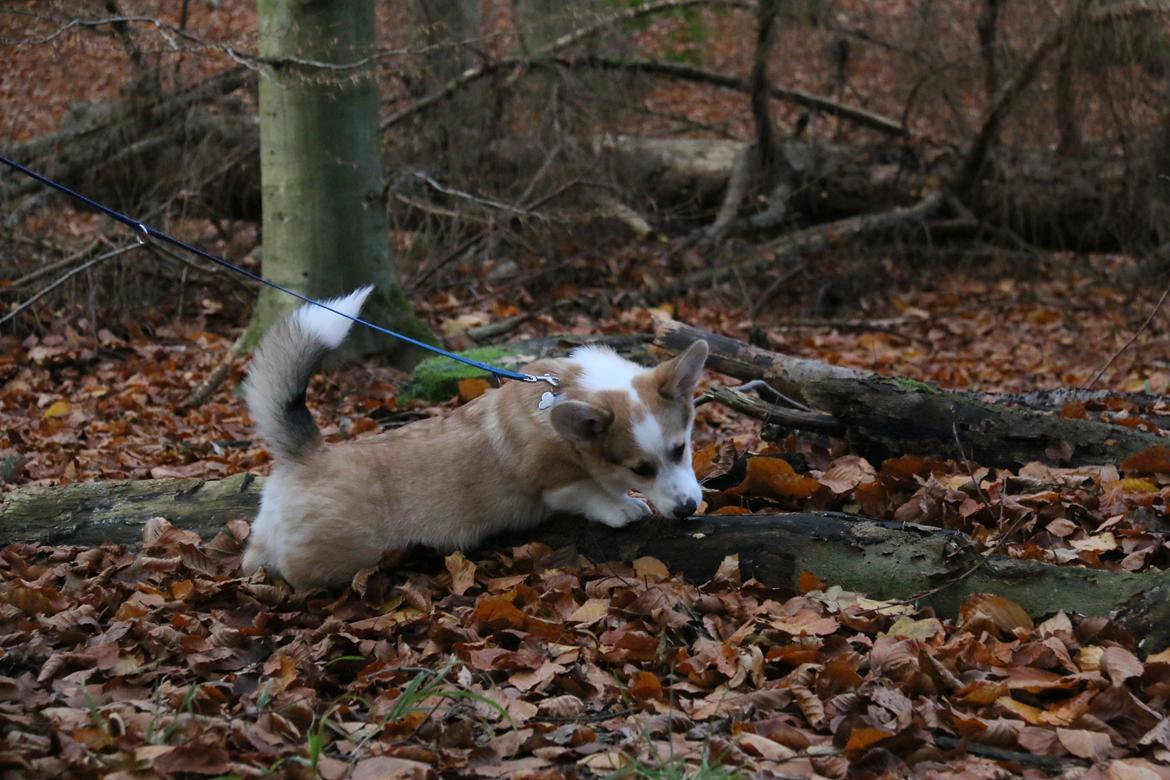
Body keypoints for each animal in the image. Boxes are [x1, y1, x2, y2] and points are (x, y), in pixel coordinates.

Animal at [242, 290, 706, 589]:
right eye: (641, 469)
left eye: (680, 449)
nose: (687, 509)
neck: (567, 395)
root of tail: (307, 455)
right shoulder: (554, 482)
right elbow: (592, 492)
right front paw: (624, 506)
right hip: (343, 553)